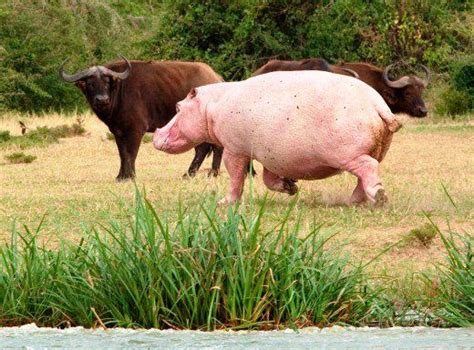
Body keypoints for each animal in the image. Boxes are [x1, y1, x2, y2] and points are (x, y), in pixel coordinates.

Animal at [60, 56, 224, 180]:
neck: (119, 94)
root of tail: (217, 78)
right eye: (90, 83)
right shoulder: (118, 132)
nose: (102, 99)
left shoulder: (136, 130)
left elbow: (131, 152)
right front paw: (121, 176)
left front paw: (130, 176)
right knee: (203, 148)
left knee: (214, 147)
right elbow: (122, 153)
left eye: (107, 82)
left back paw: (211, 173)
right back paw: (192, 174)